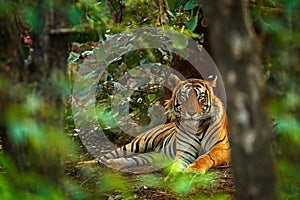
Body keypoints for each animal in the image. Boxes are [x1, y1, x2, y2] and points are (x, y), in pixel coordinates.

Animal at [99, 73, 231, 173]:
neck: (198, 128)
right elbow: (177, 165)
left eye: (201, 98)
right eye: (184, 97)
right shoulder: (185, 151)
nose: (191, 113)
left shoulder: (222, 147)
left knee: (135, 159)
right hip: (138, 143)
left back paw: (113, 164)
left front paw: (193, 170)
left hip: (152, 156)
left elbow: (205, 157)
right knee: (113, 153)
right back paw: (104, 163)